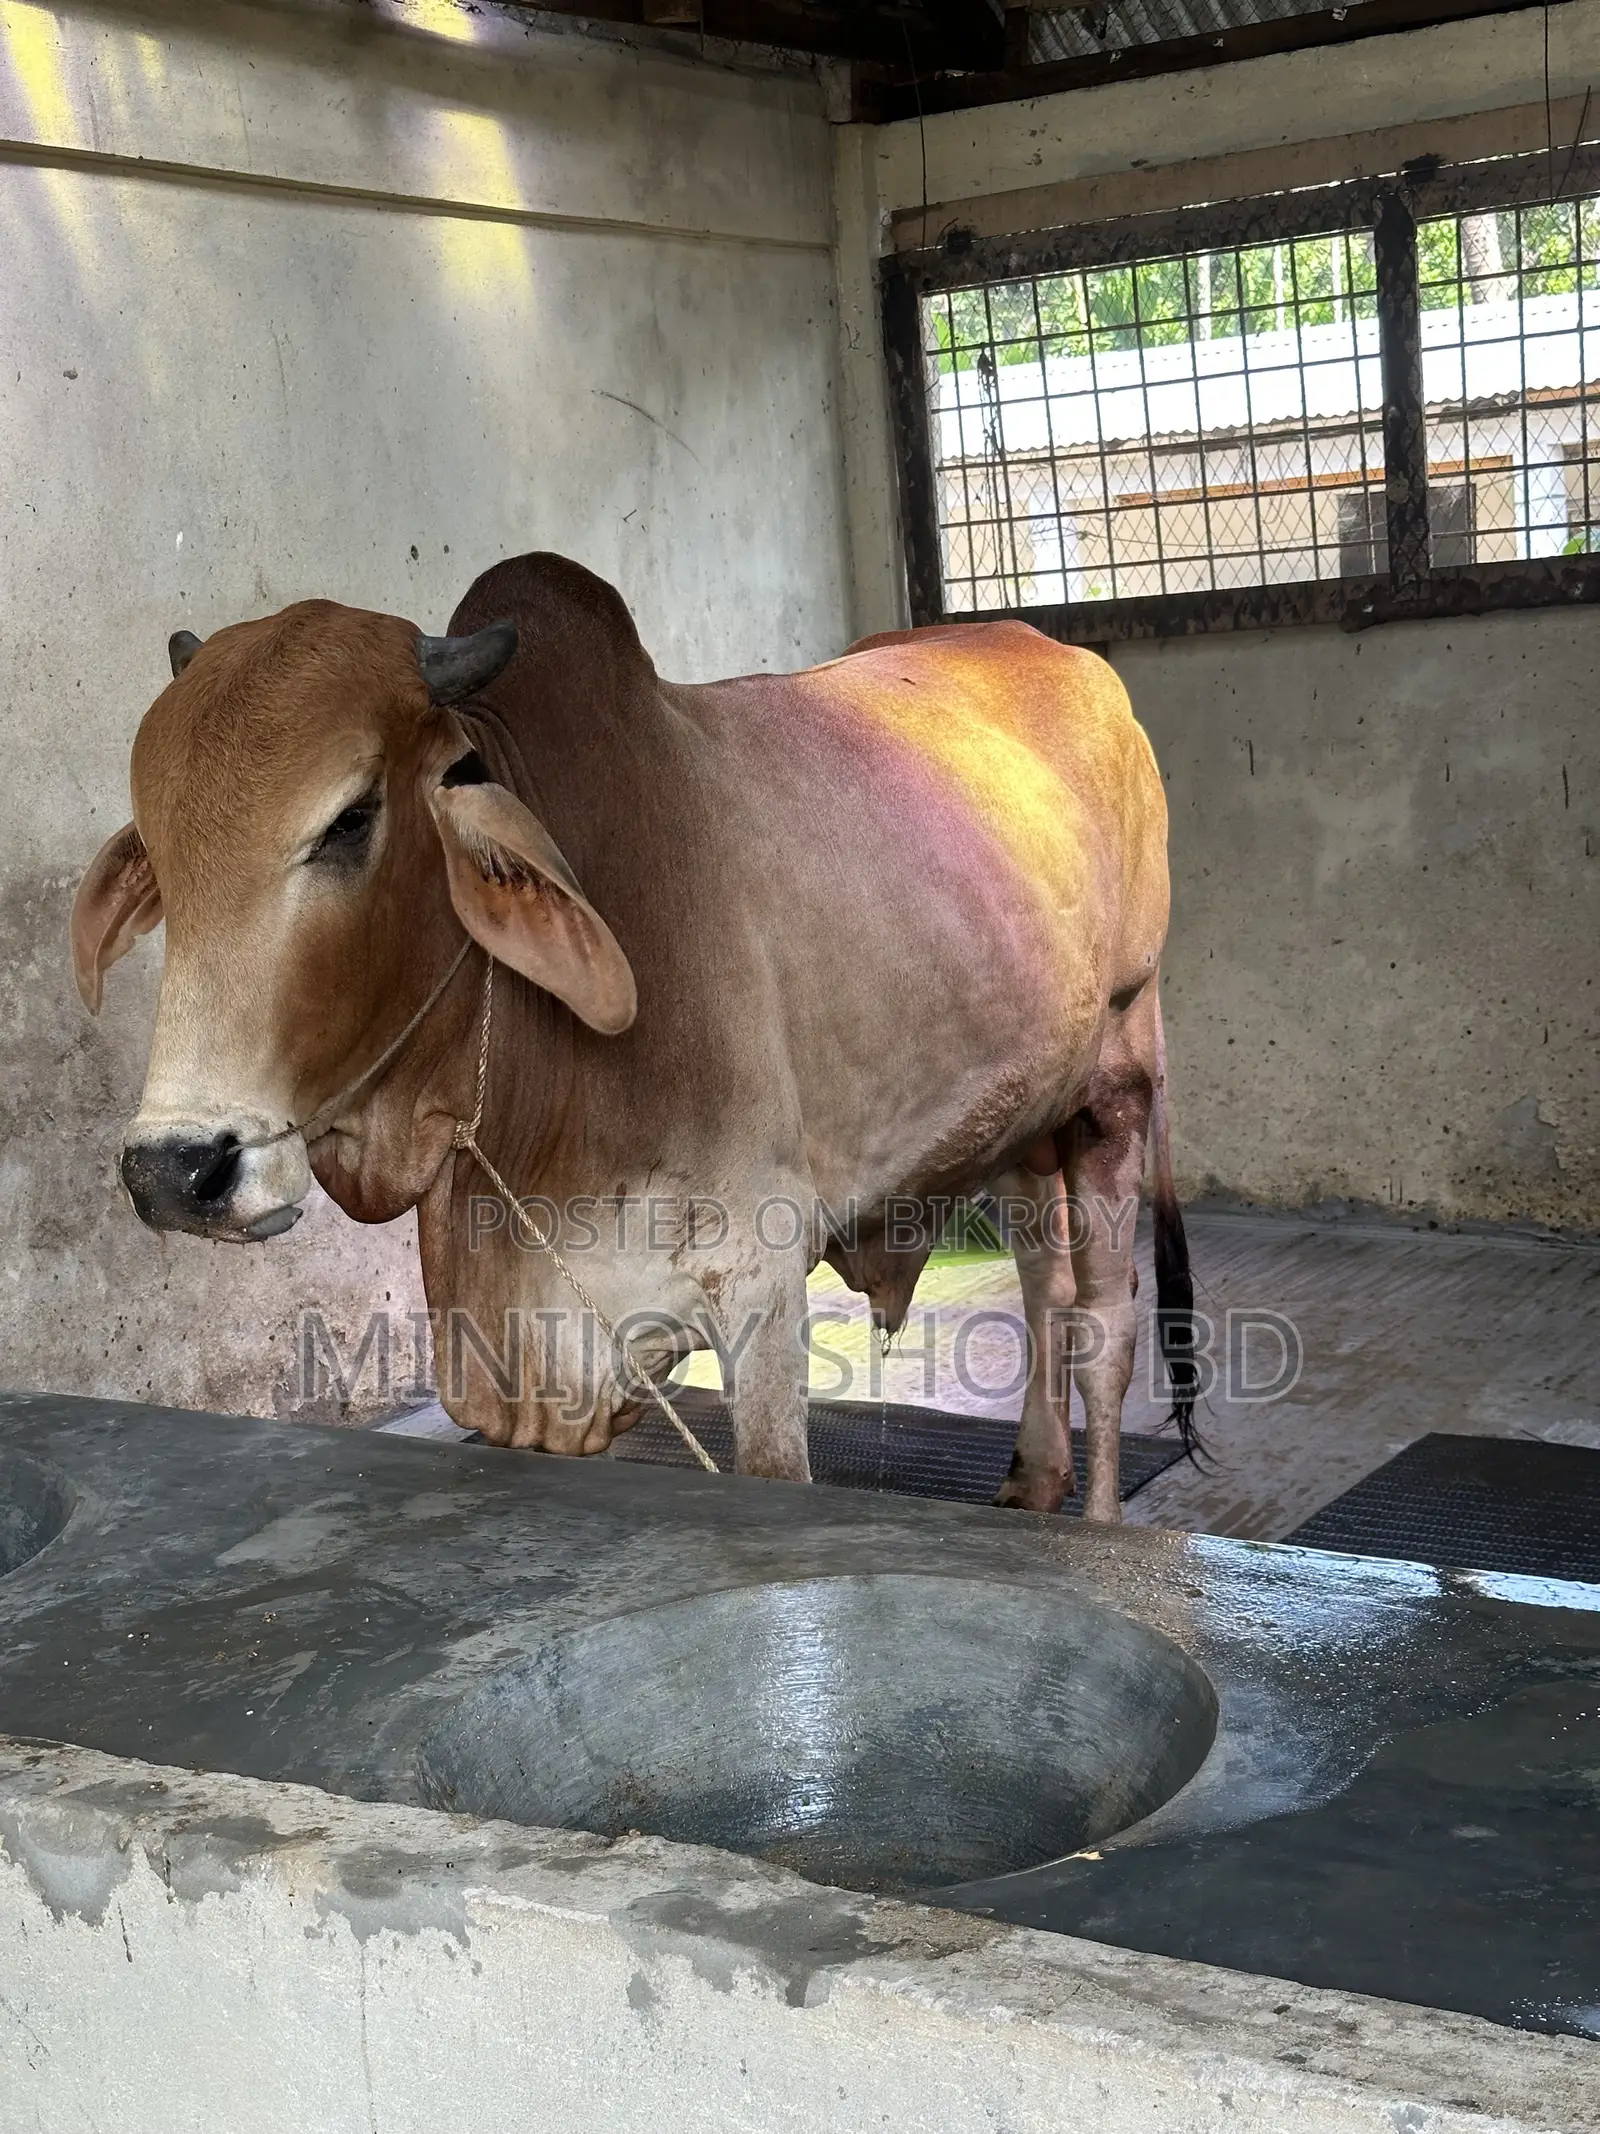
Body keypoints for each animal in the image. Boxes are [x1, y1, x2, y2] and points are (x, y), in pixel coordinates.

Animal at [71, 551, 1195, 1521]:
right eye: (158, 853)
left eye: (352, 818)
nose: (177, 1171)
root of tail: (1060, 655)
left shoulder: (761, 1280)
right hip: (1023, 1110)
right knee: (1044, 1281)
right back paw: (1032, 1480)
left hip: (1119, 1080)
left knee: (1106, 1323)